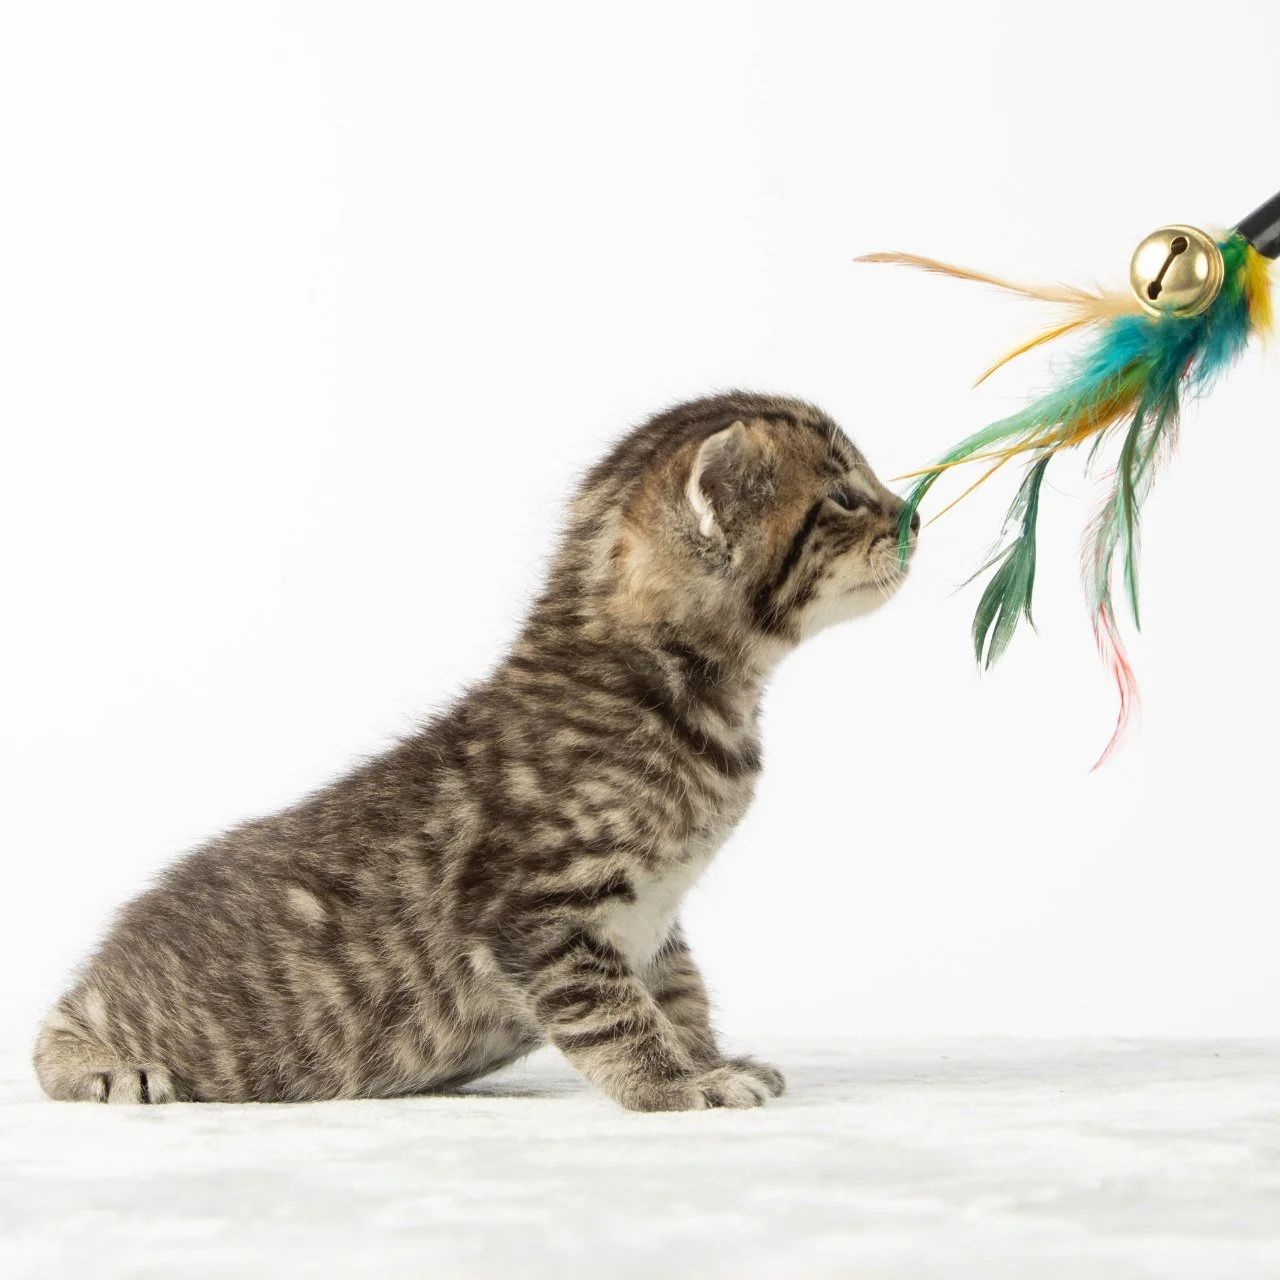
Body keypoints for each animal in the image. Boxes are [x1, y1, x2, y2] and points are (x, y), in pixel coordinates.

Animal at [35, 391, 917, 1110]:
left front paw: (706, 1057)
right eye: (845, 496)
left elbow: (679, 994)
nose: (910, 515)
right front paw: (673, 1085)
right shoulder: (533, 913)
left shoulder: (655, 920)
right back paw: (102, 1065)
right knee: (50, 1032)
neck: (675, 695)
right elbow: (616, 1015)